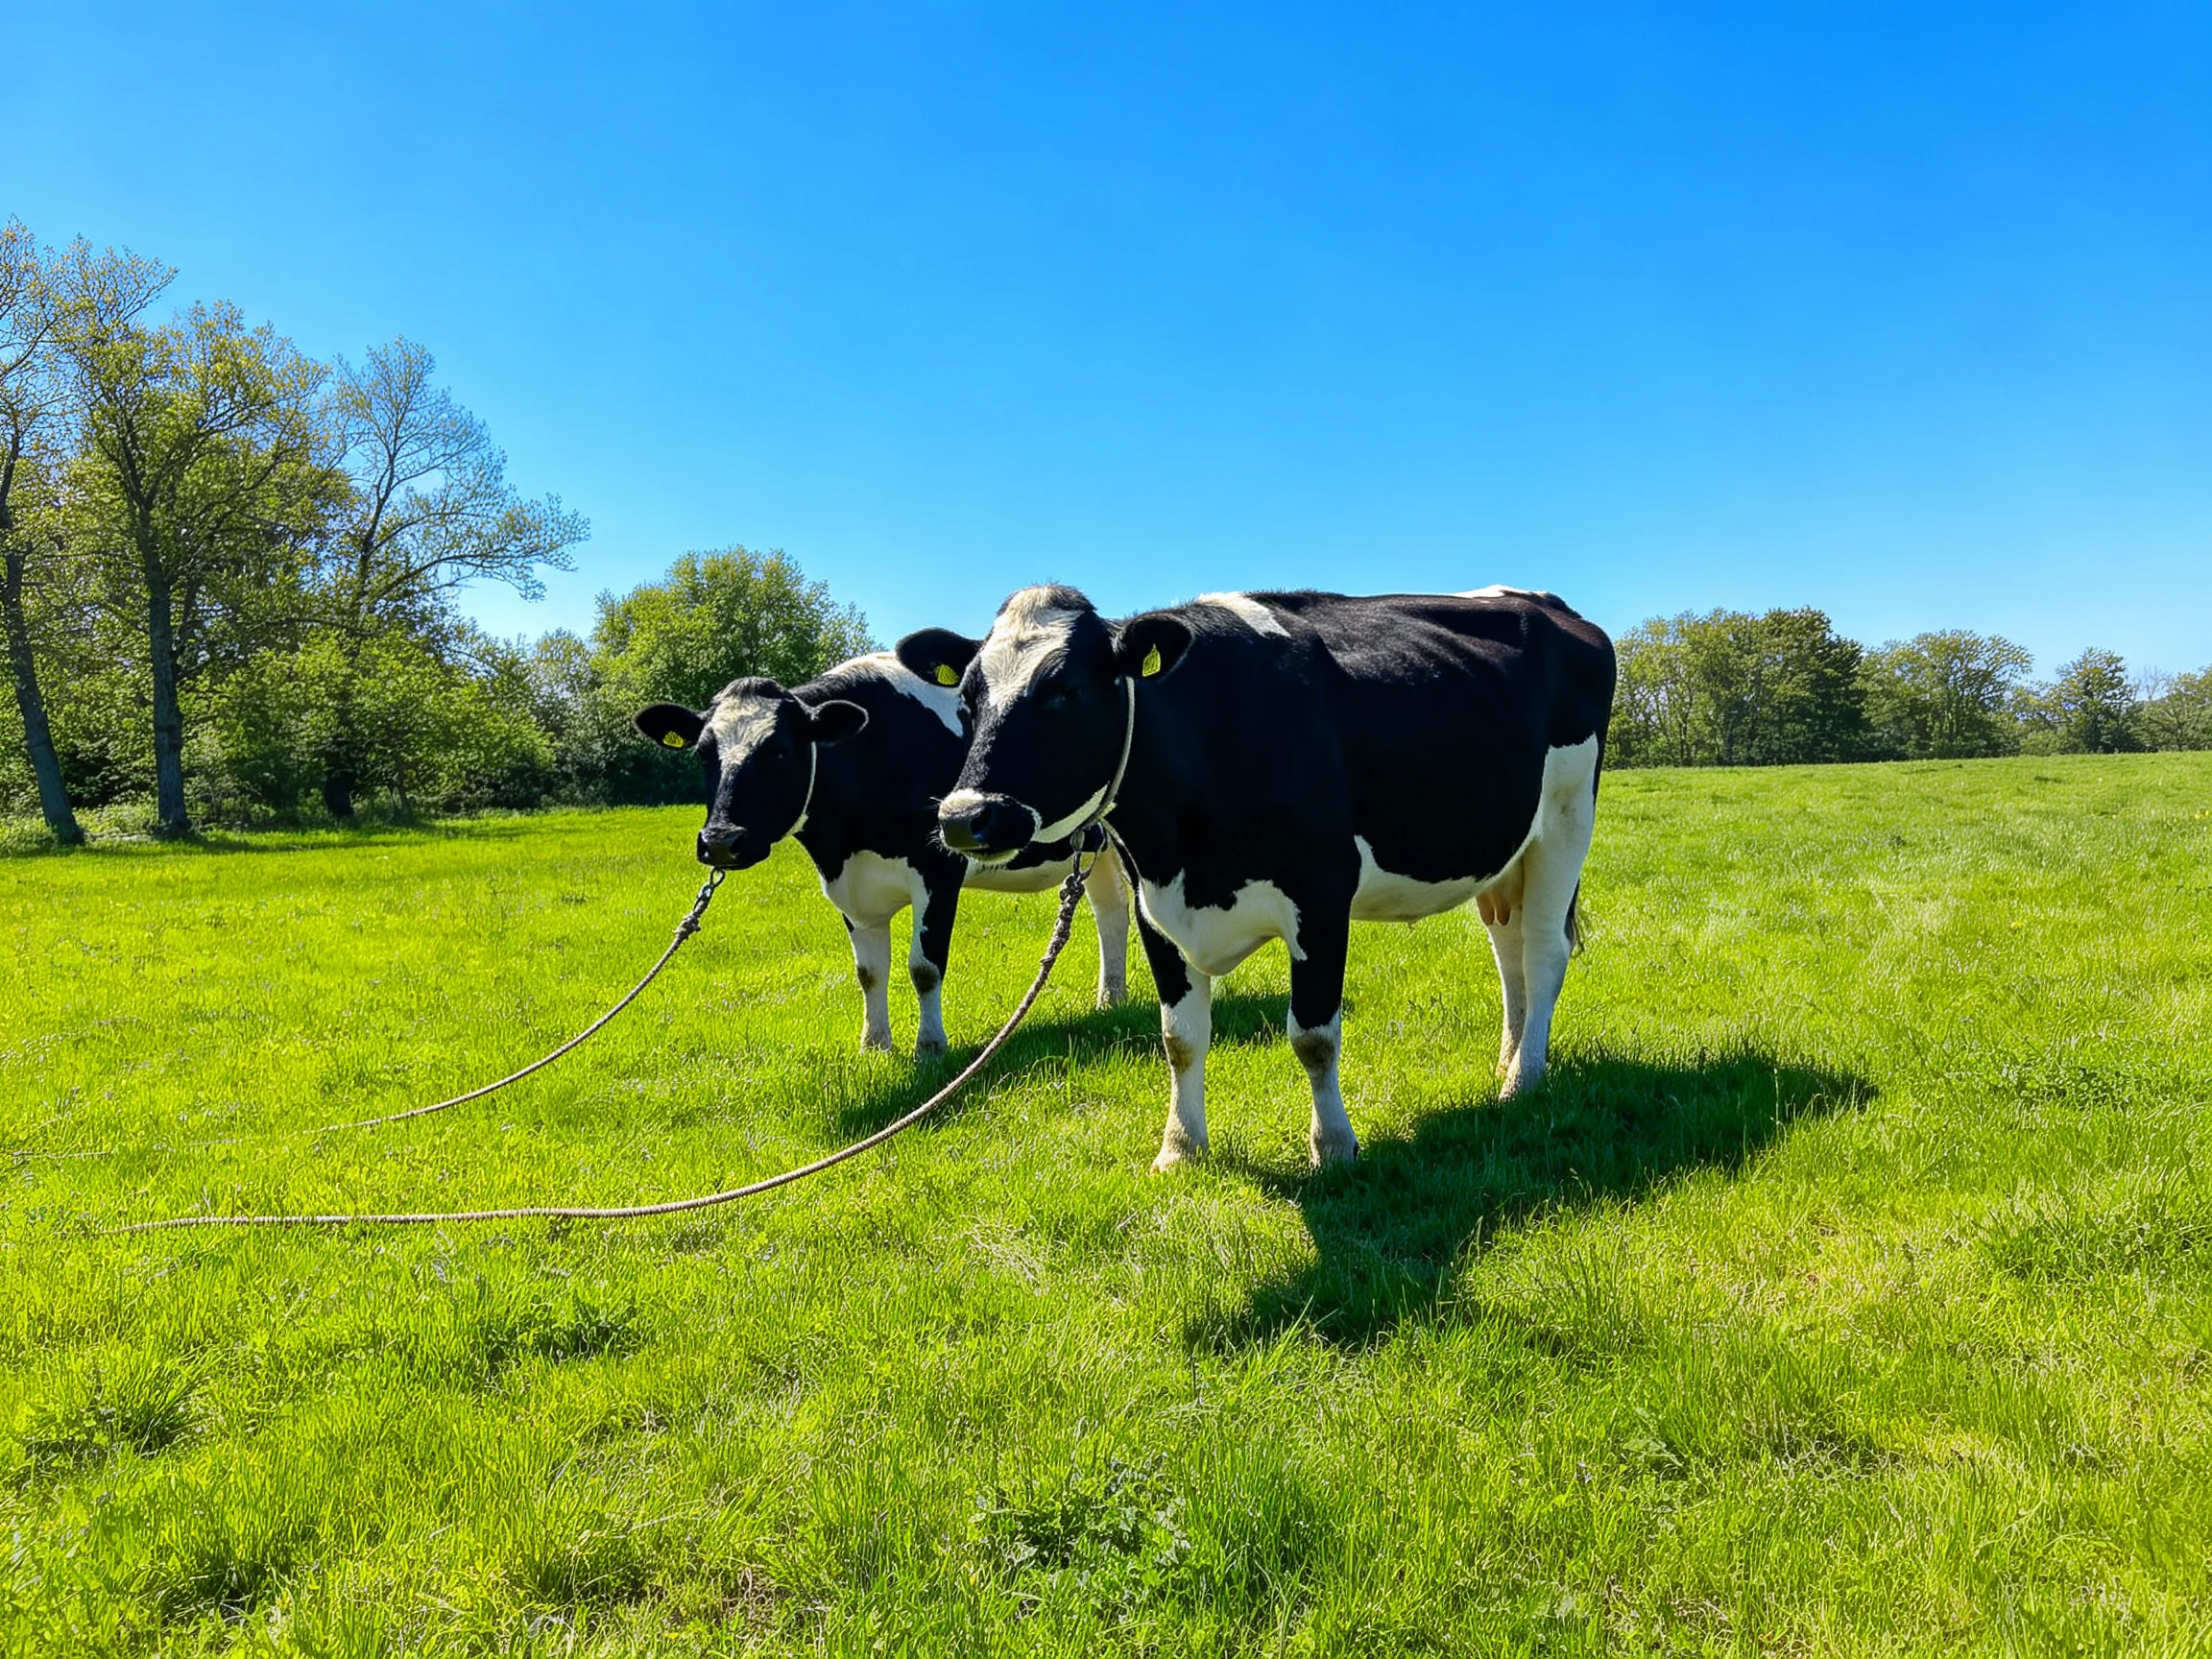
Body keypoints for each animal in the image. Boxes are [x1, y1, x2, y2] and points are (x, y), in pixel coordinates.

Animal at [633, 651, 1132, 1058]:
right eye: (703, 752)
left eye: (778, 751)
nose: (720, 840)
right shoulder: (851, 885)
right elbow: (869, 971)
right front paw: (874, 1046)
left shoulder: (939, 869)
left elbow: (925, 966)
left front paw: (930, 1049)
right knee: (1111, 914)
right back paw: (1111, 999)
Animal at [895, 584, 1613, 1170]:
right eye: (968, 700)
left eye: (1063, 691)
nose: (964, 817)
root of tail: (1555, 607)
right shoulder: (1154, 905)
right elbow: (1180, 1039)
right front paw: (1179, 1148)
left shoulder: (1321, 896)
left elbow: (1314, 1036)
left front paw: (1334, 1146)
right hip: (1505, 850)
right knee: (1508, 950)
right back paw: (1509, 1060)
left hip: (1567, 818)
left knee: (1544, 951)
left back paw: (1525, 1079)